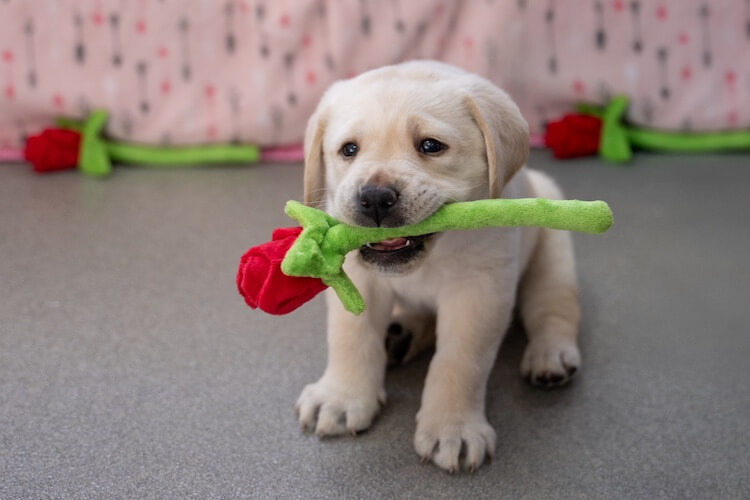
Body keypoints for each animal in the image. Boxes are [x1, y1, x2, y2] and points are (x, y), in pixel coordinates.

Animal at [296, 61, 580, 472]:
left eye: (430, 146)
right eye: (348, 149)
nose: (375, 198)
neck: (433, 252)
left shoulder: (480, 290)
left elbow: (459, 361)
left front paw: (453, 429)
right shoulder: (360, 277)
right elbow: (351, 337)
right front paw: (340, 397)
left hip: (553, 253)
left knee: (553, 308)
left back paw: (550, 356)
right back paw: (401, 333)